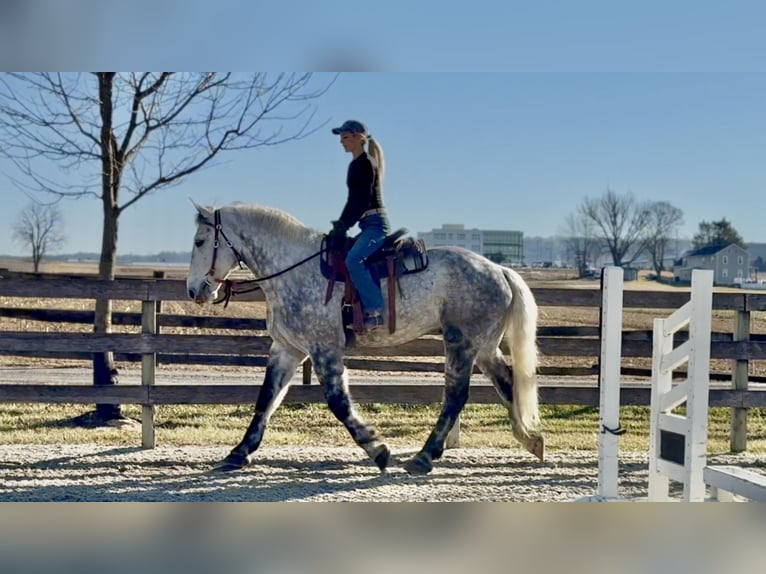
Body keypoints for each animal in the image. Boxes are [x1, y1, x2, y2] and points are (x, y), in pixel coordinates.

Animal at [186, 201, 544, 474]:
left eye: (200, 241)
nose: (193, 291)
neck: (292, 271)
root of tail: (499, 270)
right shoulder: (287, 350)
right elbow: (265, 399)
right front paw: (237, 453)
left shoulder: (325, 350)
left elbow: (339, 403)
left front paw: (379, 450)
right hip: (484, 347)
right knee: (507, 382)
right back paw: (530, 439)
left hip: (461, 343)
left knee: (456, 396)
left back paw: (424, 456)